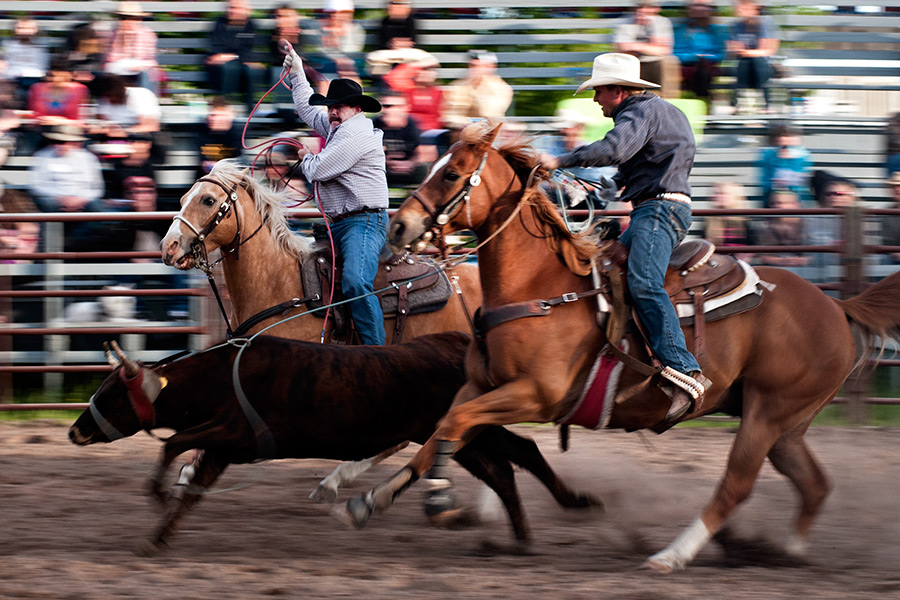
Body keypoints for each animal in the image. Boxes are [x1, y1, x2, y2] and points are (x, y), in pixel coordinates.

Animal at [342, 120, 900, 572]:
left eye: (453, 174)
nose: (399, 226)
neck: (540, 287)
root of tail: (836, 305)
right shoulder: (481, 385)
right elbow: (442, 430)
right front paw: (373, 499)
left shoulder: (536, 395)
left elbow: (455, 427)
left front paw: (438, 498)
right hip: (786, 423)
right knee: (814, 483)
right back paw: (788, 552)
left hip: (767, 413)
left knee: (736, 485)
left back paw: (671, 556)